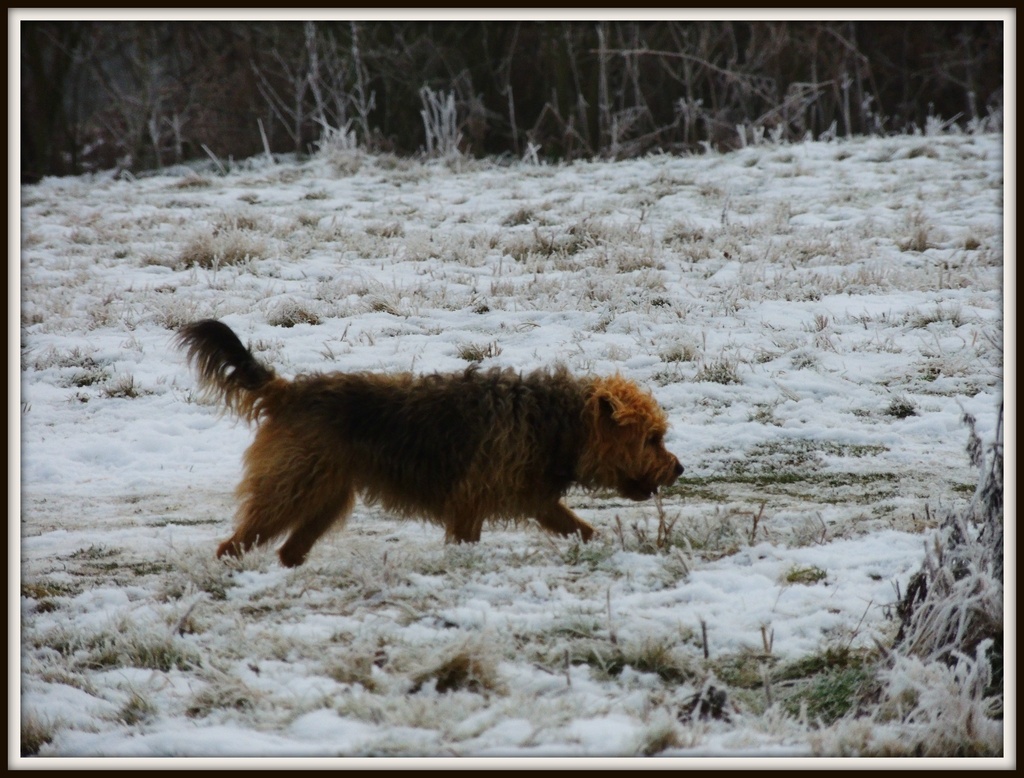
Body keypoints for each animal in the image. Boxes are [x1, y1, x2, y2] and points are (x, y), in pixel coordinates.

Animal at [180, 319, 684, 569]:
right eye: (652, 438)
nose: (679, 468)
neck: (560, 425)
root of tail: (287, 391)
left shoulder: (538, 500)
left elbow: (582, 529)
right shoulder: (470, 505)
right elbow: (466, 541)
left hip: (326, 496)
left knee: (289, 550)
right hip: (291, 489)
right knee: (236, 543)